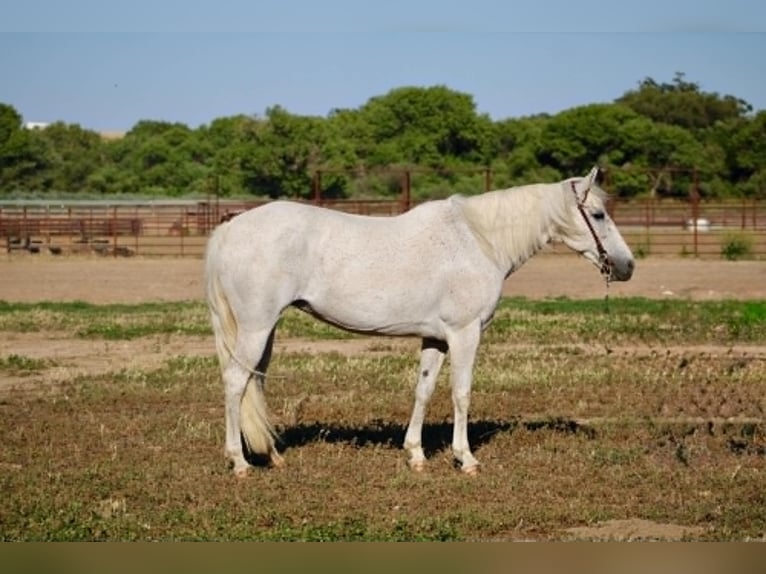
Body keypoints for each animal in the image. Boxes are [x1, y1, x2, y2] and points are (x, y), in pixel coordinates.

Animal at [205, 166, 634, 476]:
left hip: (264, 330)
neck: (478, 240)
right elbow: (461, 393)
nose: (627, 265)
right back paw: (239, 463)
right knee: (235, 383)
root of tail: (229, 228)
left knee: (254, 383)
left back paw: (273, 456)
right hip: (256, 328)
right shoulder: (464, 334)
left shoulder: (436, 339)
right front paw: (466, 459)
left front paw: (416, 454)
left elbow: (423, 391)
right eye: (598, 214)